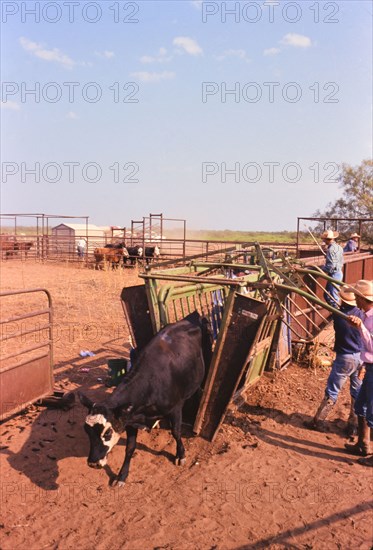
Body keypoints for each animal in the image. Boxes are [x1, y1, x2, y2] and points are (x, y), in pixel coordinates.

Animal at [78, 312, 211, 490]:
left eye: (107, 432)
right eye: (87, 430)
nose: (93, 463)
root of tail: (193, 317)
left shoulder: (175, 409)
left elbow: (176, 432)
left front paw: (180, 454)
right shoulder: (129, 420)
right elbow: (129, 448)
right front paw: (122, 475)